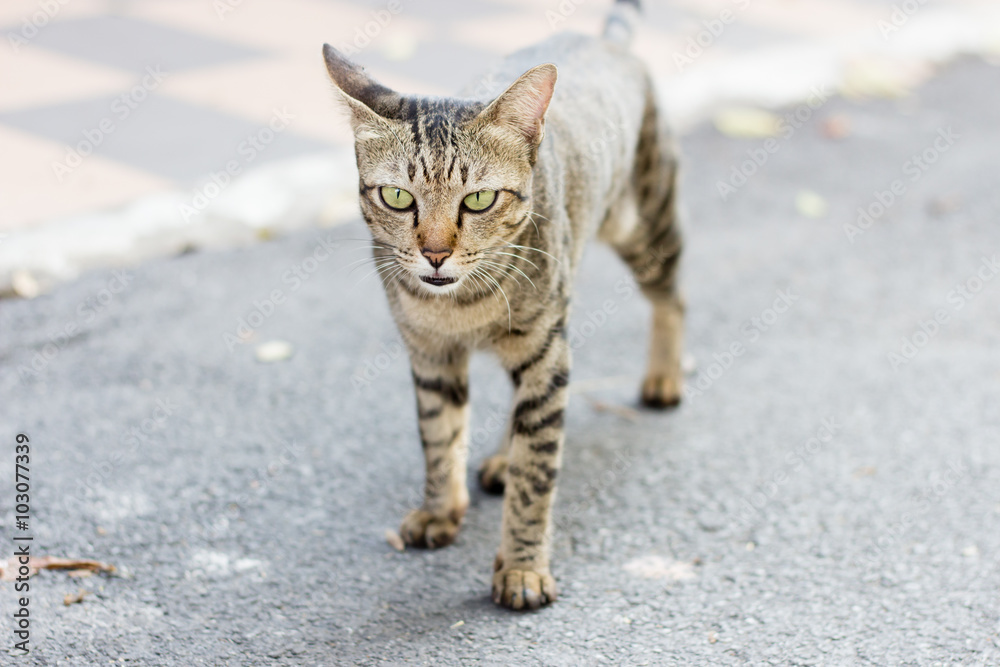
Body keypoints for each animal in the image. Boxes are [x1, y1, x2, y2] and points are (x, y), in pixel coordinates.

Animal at [324, 0, 684, 612]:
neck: (462, 305)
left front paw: (522, 568)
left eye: (478, 200)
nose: (435, 252)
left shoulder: (546, 351)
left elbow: (536, 478)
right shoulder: (430, 353)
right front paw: (441, 509)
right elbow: (439, 436)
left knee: (674, 297)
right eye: (397, 197)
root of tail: (607, 41)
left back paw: (665, 376)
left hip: (644, 227)